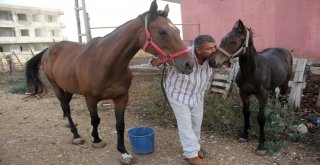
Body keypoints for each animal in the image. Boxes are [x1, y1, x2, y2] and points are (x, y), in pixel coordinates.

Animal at [25, 0, 194, 164]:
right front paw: (97, 140)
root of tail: (48, 49)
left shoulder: (121, 97)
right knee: (66, 107)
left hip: (69, 87)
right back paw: (76, 135)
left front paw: (123, 152)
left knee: (66, 106)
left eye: (178, 31)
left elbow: (120, 125)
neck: (106, 63)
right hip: (56, 87)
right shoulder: (90, 98)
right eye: (162, 32)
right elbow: (95, 120)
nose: (189, 64)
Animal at [211, 20, 294, 155]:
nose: (212, 61)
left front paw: (261, 145)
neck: (251, 71)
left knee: (282, 99)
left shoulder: (262, 94)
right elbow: (246, 112)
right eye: (223, 39)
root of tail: (284, 51)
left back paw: (280, 120)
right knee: (273, 98)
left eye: (234, 41)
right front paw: (245, 135)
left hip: (284, 83)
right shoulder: (244, 93)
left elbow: (261, 118)